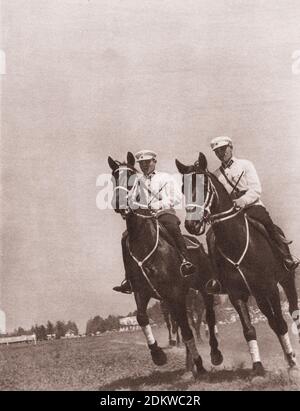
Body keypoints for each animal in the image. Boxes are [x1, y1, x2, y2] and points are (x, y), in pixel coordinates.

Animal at [108, 151, 223, 376]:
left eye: (132, 177)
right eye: (114, 177)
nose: (119, 203)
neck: (143, 240)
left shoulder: (175, 292)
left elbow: (187, 329)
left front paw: (200, 363)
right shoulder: (143, 292)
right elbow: (142, 318)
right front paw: (158, 355)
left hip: (203, 288)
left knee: (209, 316)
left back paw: (213, 355)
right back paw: (189, 364)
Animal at [176, 152, 300, 376]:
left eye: (204, 184)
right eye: (183, 187)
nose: (192, 224)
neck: (237, 240)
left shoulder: (271, 288)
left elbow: (281, 323)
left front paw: (293, 364)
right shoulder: (237, 294)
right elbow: (249, 330)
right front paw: (258, 367)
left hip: (285, 281)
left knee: (292, 314)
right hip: (258, 296)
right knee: (271, 320)